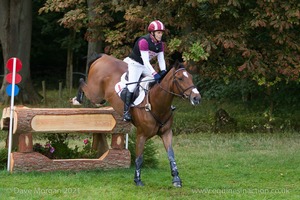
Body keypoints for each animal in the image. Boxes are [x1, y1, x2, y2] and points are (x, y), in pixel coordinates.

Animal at [74, 53, 202, 188]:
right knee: (82, 82)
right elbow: (139, 158)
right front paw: (137, 180)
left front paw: (176, 179)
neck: (157, 104)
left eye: (191, 78)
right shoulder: (141, 135)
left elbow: (171, 155)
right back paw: (77, 99)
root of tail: (103, 57)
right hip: (96, 95)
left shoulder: (166, 133)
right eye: (180, 78)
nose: (197, 98)